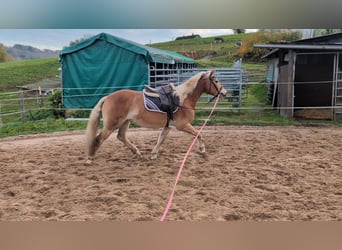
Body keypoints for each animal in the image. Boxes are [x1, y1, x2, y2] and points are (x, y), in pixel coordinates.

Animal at [84, 70, 226, 164]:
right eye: (216, 81)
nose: (224, 92)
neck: (183, 99)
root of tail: (108, 97)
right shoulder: (182, 125)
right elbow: (198, 134)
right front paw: (202, 149)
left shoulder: (168, 126)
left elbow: (160, 140)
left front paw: (153, 155)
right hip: (112, 125)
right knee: (99, 139)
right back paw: (90, 158)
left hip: (125, 122)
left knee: (121, 136)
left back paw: (137, 153)